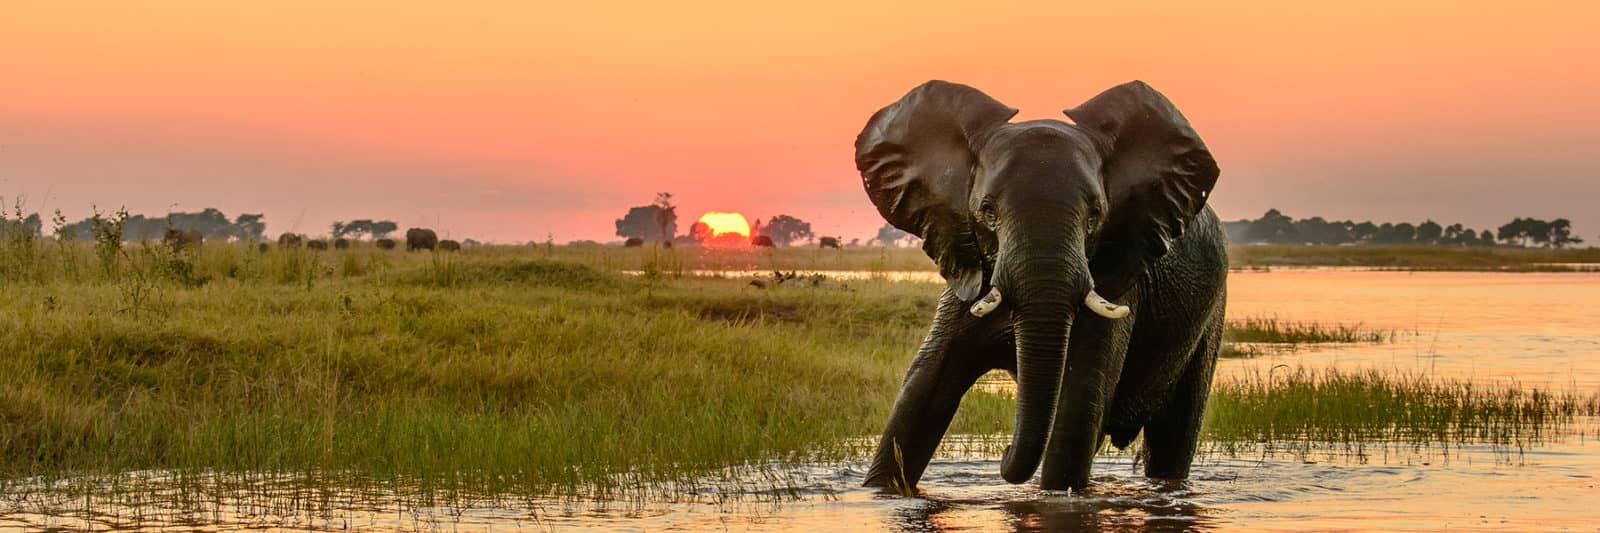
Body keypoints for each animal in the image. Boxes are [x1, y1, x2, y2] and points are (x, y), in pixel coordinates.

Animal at [855, 80, 1226, 492]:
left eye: (1095, 215)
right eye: (987, 211)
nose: (1002, 454)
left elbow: (1078, 404)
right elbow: (922, 390)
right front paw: (882, 492)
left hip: (1211, 315)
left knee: (1174, 434)